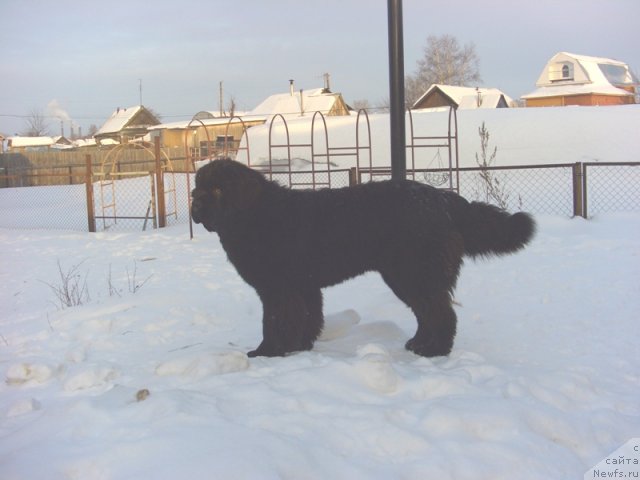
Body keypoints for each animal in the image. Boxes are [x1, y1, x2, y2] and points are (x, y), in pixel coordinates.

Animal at [191, 159, 536, 358]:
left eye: (218, 189)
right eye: (197, 188)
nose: (195, 207)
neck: (255, 214)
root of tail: (444, 199)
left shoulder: (278, 288)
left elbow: (274, 321)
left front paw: (268, 352)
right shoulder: (303, 286)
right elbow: (308, 318)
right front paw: (300, 346)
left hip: (414, 273)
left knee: (440, 313)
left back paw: (433, 351)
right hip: (409, 277)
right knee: (427, 313)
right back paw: (417, 345)